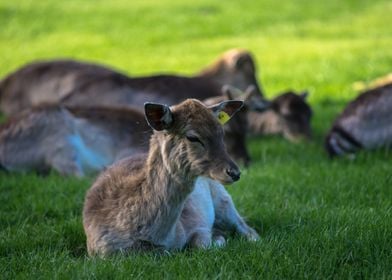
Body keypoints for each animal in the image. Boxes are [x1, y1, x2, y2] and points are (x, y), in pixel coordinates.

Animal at [83, 99, 260, 258]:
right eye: (192, 137)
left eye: (221, 133)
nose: (234, 172)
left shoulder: (198, 223)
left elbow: (200, 245)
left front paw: (219, 240)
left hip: (222, 198)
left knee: (248, 229)